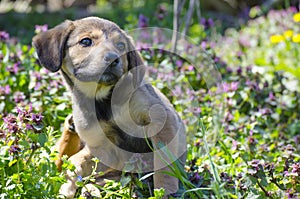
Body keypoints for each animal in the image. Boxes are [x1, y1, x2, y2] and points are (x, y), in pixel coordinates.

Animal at [33, 16, 188, 197]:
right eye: (86, 41)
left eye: (121, 45)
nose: (113, 59)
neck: (102, 101)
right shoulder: (103, 146)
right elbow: (78, 163)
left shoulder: (162, 120)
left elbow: (164, 166)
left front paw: (165, 191)